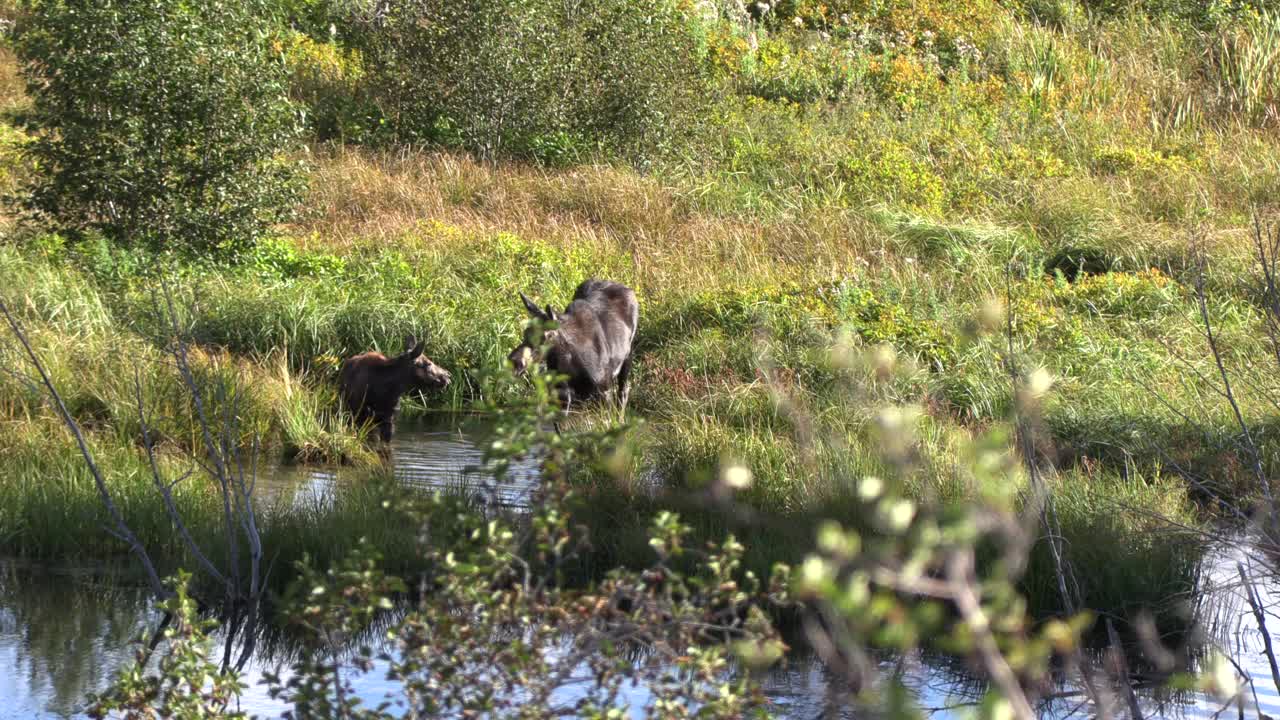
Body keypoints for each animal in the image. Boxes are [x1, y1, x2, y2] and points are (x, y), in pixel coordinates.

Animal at [504, 278, 634, 412]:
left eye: (545, 337)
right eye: (525, 332)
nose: (515, 363)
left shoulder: (604, 390)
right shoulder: (562, 396)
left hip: (627, 355)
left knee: (624, 390)